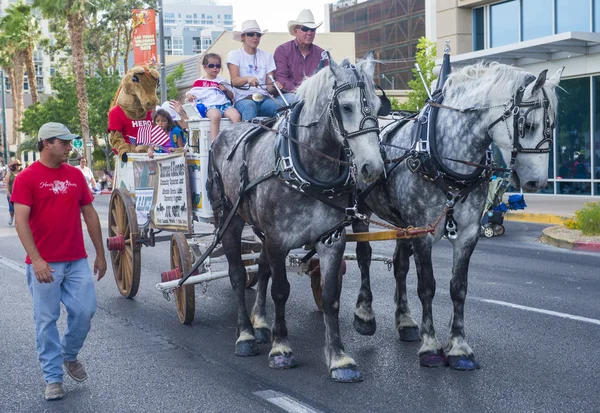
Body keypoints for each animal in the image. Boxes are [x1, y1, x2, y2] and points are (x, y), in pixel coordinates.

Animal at [209, 53, 382, 382]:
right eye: (346, 107)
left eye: (379, 107)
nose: (373, 168)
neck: (306, 169)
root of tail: (223, 134)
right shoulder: (278, 240)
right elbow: (280, 291)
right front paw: (281, 349)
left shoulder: (331, 239)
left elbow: (330, 297)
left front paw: (339, 358)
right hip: (229, 219)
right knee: (238, 274)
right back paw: (246, 334)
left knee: (261, 267)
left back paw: (260, 324)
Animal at [352, 63, 564, 370]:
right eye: (527, 125)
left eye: (554, 125)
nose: (538, 182)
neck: (440, 154)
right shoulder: (423, 232)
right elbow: (427, 286)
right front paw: (430, 346)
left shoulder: (466, 234)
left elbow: (458, 288)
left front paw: (459, 348)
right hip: (360, 210)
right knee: (364, 256)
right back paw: (365, 315)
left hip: (402, 223)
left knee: (400, 265)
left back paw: (405, 321)